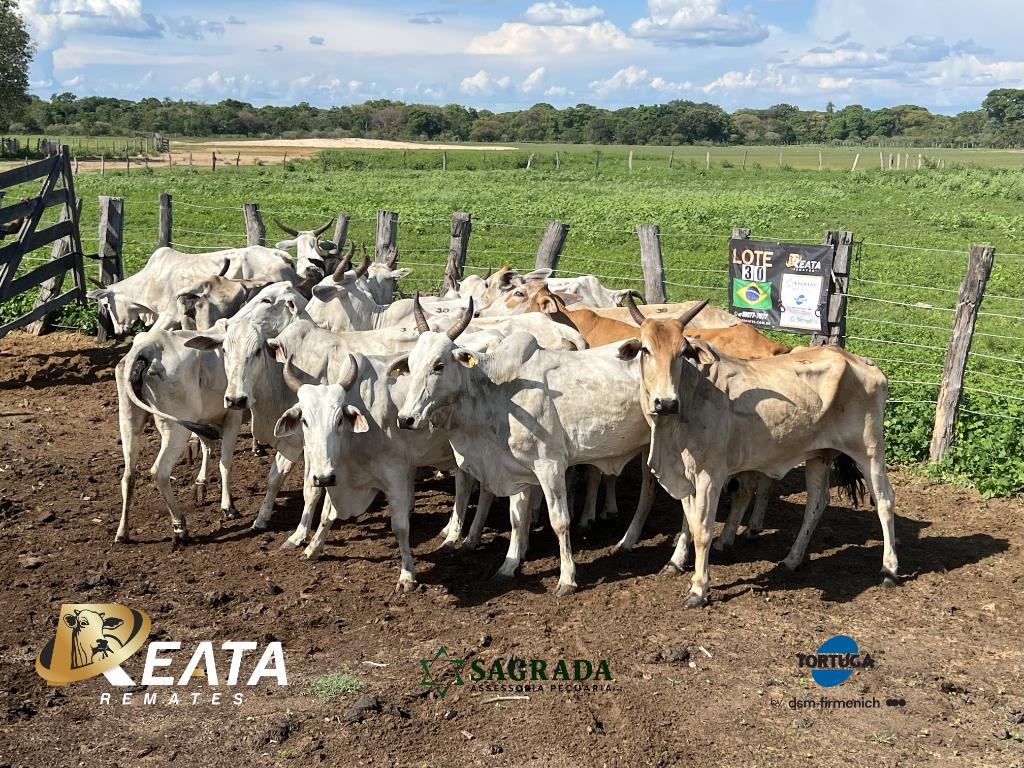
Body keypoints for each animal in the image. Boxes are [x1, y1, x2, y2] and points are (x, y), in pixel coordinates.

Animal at [395, 302, 656, 596]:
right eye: (410, 364)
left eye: (438, 365)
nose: (406, 418)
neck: (499, 390)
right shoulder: (517, 469)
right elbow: (516, 520)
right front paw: (509, 565)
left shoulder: (550, 465)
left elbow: (560, 522)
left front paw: (567, 578)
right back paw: (628, 540)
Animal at [617, 305, 897, 608]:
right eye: (645, 349)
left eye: (682, 351)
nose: (666, 402)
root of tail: (861, 361)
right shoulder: (684, 476)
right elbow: (689, 524)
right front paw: (676, 563)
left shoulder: (709, 476)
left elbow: (702, 531)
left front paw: (698, 589)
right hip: (818, 455)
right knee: (817, 503)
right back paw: (792, 559)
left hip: (869, 449)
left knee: (884, 500)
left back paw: (889, 570)